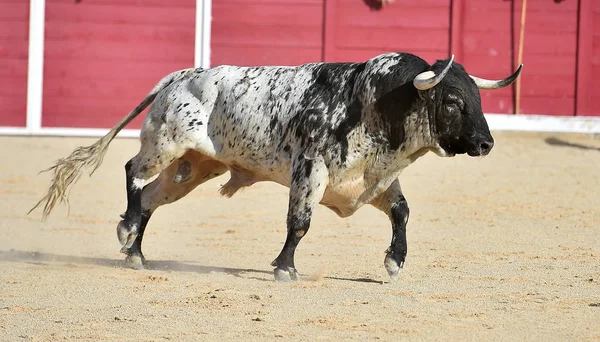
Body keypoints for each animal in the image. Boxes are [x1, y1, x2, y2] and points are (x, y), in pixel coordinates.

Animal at [32, 50, 520, 280]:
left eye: (477, 99)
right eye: (453, 101)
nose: (486, 143)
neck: (375, 103)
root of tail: (180, 77)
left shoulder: (376, 180)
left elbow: (402, 212)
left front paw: (394, 262)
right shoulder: (310, 170)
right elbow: (299, 222)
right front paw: (285, 267)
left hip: (192, 168)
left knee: (152, 196)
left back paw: (136, 253)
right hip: (165, 146)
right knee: (133, 172)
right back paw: (126, 231)